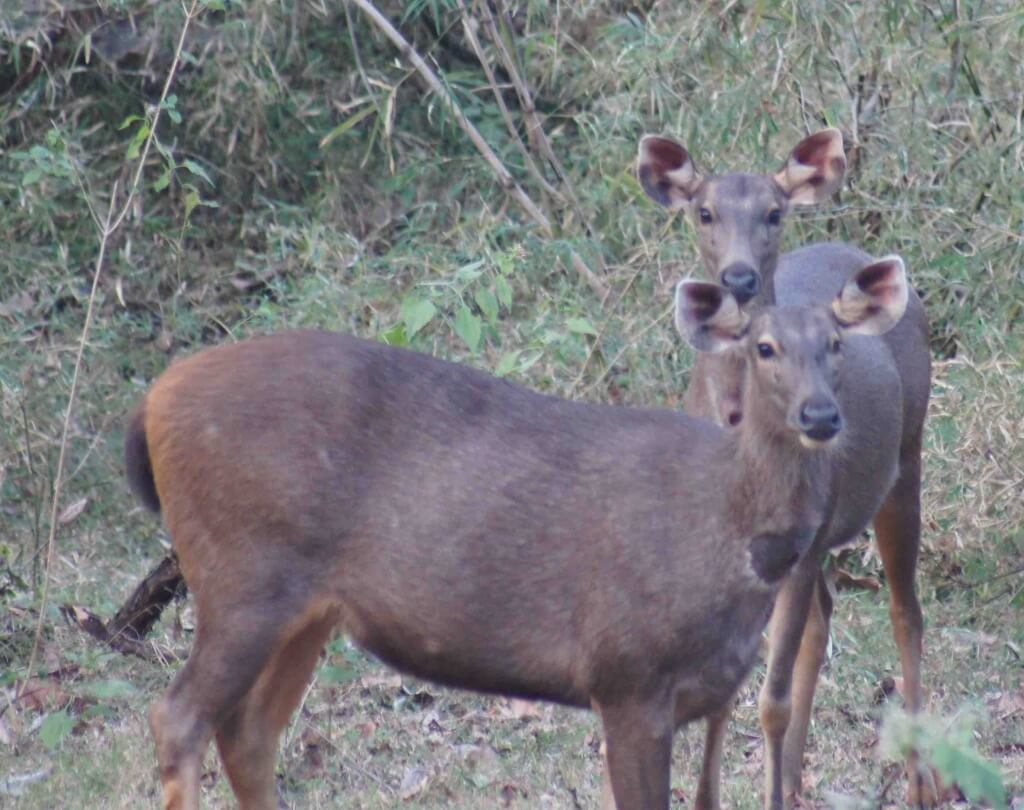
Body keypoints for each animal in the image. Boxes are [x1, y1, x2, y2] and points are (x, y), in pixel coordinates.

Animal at [125, 261, 905, 810]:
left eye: (835, 344)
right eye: (765, 347)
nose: (821, 414)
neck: (729, 532)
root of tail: (152, 400)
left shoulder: (715, 694)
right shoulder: (626, 674)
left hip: (304, 609)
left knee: (247, 732)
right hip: (241, 575)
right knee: (177, 716)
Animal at [638, 130, 937, 806]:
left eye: (774, 213)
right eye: (704, 212)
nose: (739, 277)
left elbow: (767, 699)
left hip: (905, 460)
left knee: (905, 611)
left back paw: (922, 778)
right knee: (823, 619)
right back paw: (797, 775)